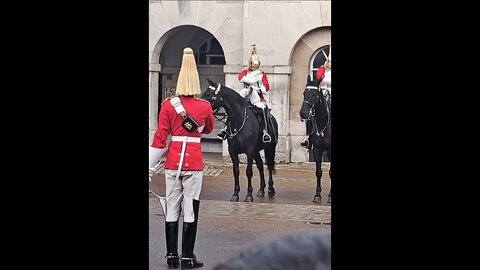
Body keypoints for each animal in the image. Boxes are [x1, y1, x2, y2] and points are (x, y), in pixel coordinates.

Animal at [298, 75, 332, 204]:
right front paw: (317, 195)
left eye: (314, 94)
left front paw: (330, 196)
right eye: (304, 93)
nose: (303, 113)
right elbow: (318, 172)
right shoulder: (317, 149)